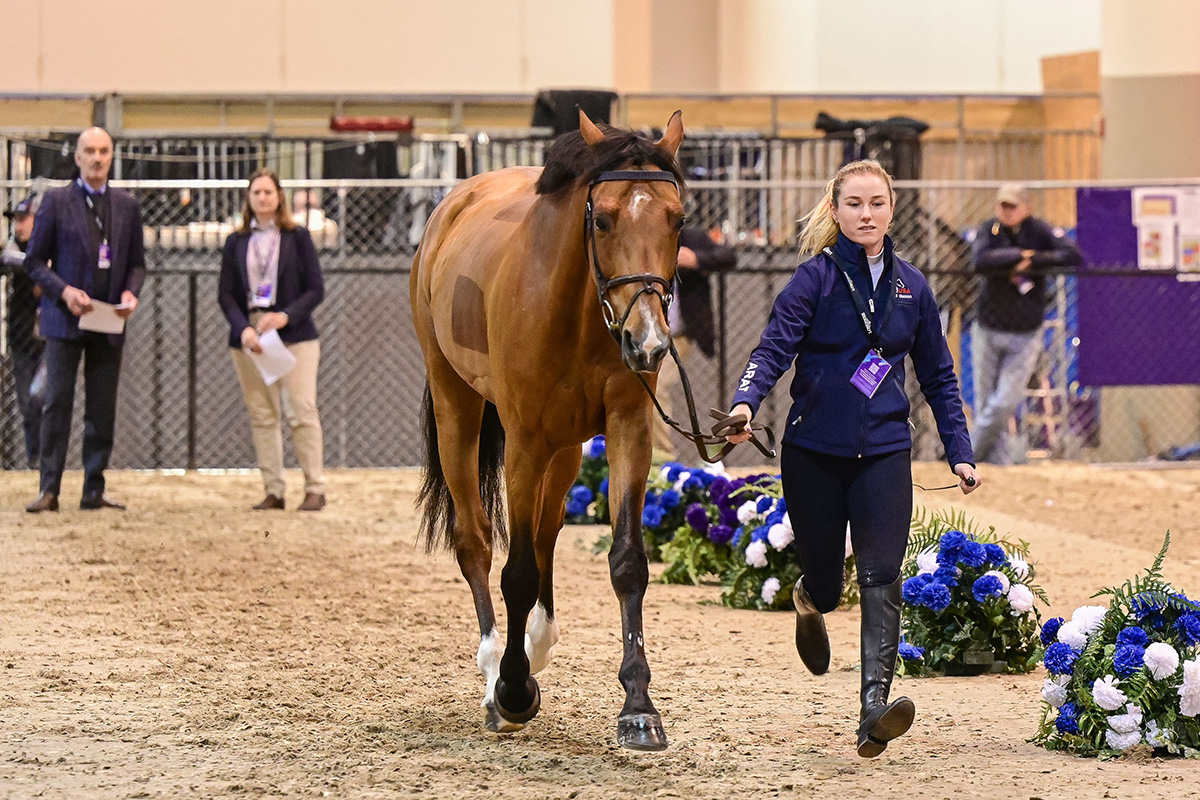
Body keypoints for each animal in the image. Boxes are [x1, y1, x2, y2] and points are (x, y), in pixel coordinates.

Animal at [412, 107, 691, 753]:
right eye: (604, 218)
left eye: (677, 218)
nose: (649, 343)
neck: (578, 309)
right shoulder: (525, 439)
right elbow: (515, 572)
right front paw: (513, 690)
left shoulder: (626, 429)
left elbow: (626, 562)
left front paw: (639, 708)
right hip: (459, 407)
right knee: (477, 540)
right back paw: (496, 667)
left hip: (566, 448)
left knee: (544, 532)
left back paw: (536, 644)